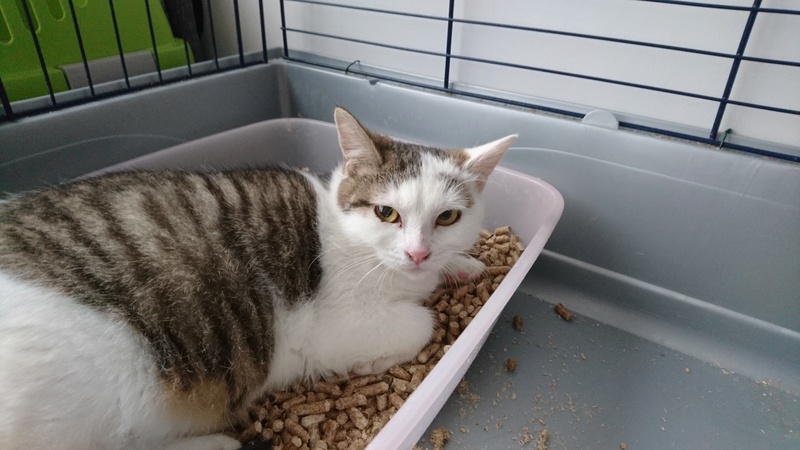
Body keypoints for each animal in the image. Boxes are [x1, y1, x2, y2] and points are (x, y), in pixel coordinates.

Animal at [0, 106, 516, 450]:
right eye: (387, 213)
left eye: (447, 218)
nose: (417, 252)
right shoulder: (327, 331)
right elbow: (420, 323)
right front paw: (376, 359)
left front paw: (463, 266)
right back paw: (216, 442)